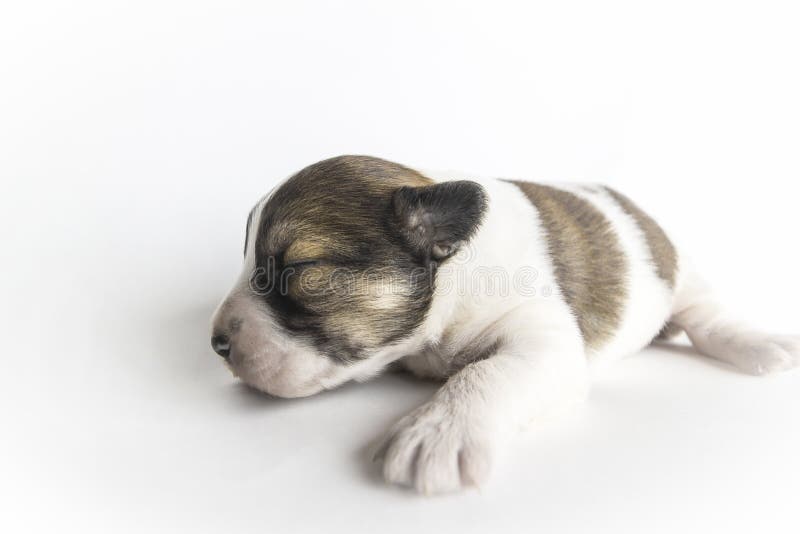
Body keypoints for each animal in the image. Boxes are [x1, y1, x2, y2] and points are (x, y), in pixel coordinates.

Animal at [212, 154, 800, 494]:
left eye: (297, 270)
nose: (215, 343)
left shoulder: (544, 339)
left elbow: (487, 372)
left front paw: (439, 430)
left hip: (683, 275)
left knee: (708, 317)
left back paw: (759, 345)